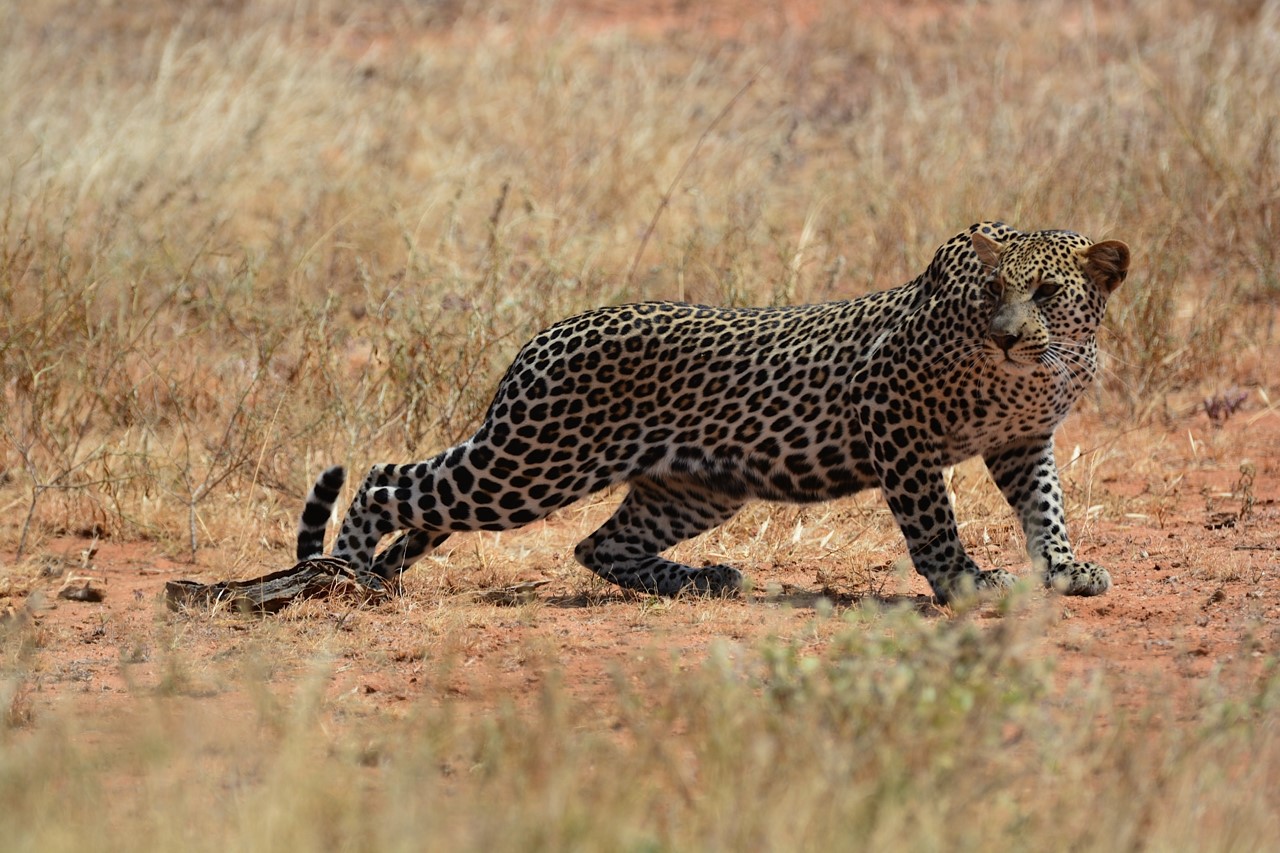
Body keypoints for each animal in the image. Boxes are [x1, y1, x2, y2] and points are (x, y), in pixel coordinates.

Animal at [296, 221, 1129, 604]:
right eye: (996, 292)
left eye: (1045, 292)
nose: (1008, 335)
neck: (1039, 370)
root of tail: (539, 338)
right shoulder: (895, 424)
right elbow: (934, 522)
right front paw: (963, 581)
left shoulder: (1023, 442)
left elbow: (1045, 507)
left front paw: (1065, 566)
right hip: (531, 464)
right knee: (387, 478)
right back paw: (346, 570)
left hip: (693, 485)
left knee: (598, 545)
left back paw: (704, 579)